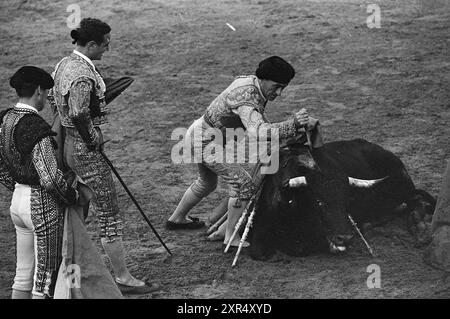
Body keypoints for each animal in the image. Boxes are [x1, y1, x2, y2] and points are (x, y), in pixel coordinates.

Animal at [250, 139, 436, 262]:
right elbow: (260, 252)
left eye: (346, 201)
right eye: (318, 202)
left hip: (401, 188)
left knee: (416, 202)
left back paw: (420, 231)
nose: (345, 237)